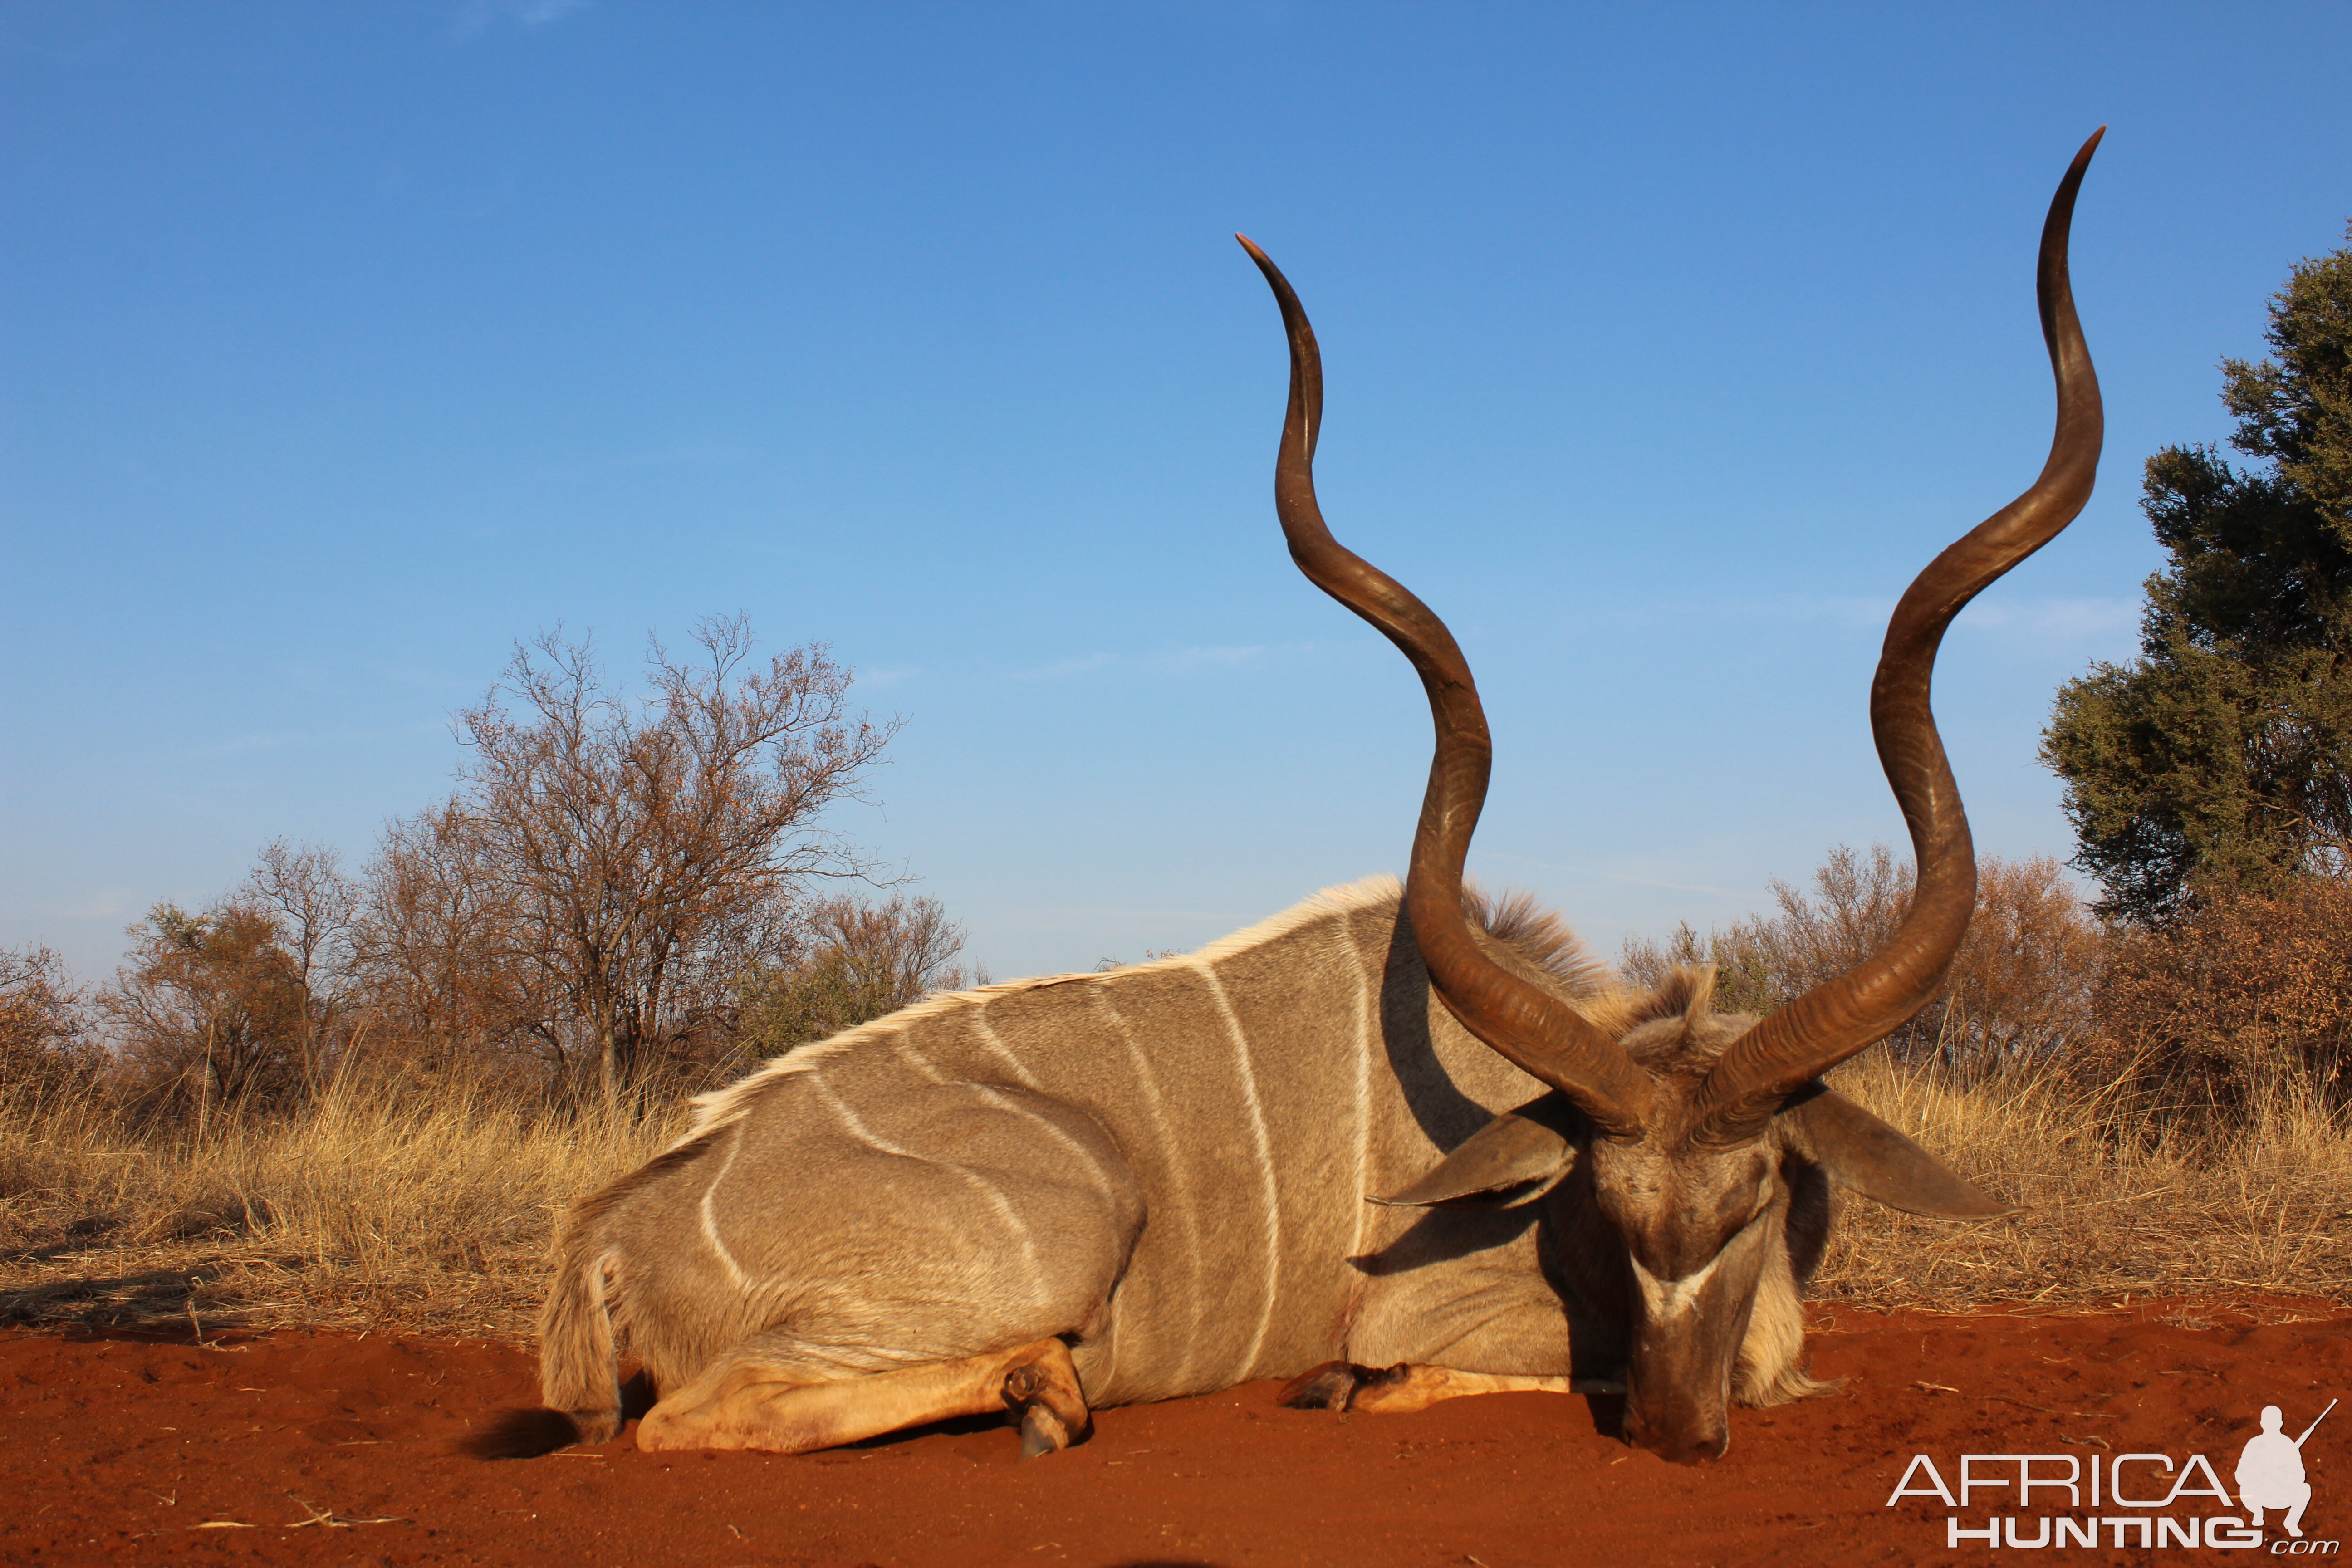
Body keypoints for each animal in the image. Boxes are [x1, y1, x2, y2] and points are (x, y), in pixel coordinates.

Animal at [468, 135, 2107, 1476]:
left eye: (1758, 1189)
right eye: (1610, 1202)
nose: (1677, 1431)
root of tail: (614, 1223)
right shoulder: (1445, 1313)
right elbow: (1440, 1368)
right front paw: (1343, 1389)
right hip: (1072, 1219)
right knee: (693, 1418)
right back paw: (1040, 1392)